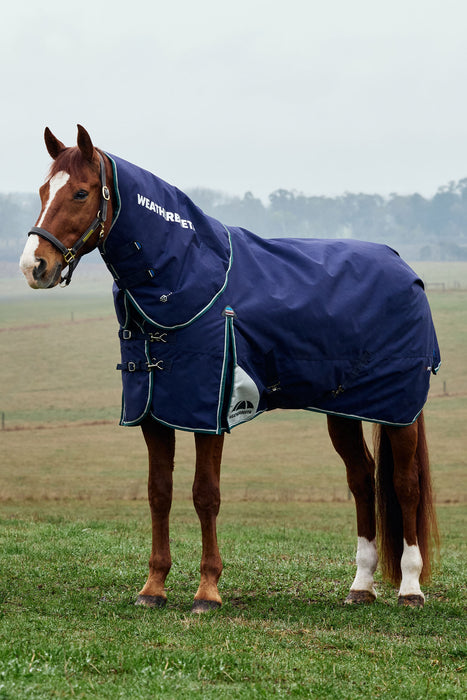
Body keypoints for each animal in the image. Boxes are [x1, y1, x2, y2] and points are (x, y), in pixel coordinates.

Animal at [20, 125, 440, 611]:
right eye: (43, 191)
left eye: (81, 192)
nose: (34, 266)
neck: (189, 277)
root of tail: (405, 268)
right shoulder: (154, 413)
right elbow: (159, 493)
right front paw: (153, 588)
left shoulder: (209, 413)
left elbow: (206, 495)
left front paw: (207, 591)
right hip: (344, 411)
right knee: (362, 480)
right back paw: (362, 585)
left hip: (399, 412)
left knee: (405, 483)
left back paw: (410, 588)